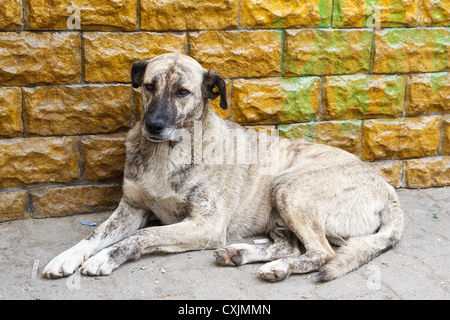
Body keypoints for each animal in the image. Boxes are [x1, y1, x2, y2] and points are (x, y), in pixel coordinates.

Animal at [43, 53, 404, 282]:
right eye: (149, 86)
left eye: (182, 92)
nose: (153, 126)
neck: (166, 153)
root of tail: (386, 188)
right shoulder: (131, 208)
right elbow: (95, 235)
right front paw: (67, 257)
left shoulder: (206, 225)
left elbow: (143, 235)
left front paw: (104, 258)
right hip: (279, 210)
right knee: (287, 244)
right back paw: (243, 254)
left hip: (290, 188)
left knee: (322, 253)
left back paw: (280, 268)